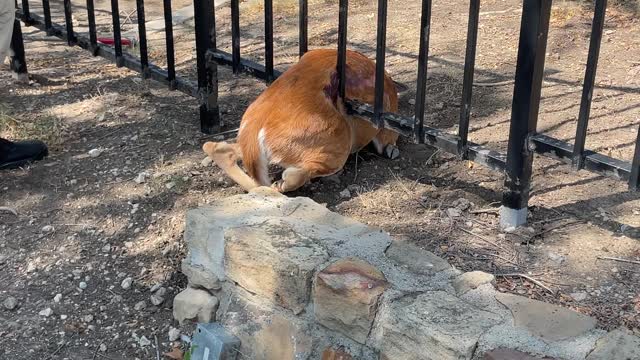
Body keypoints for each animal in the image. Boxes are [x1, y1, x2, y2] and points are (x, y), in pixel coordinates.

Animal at [202, 50, 400, 194]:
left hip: (250, 144)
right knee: (295, 175)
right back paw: (283, 182)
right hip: (336, 142)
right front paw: (391, 150)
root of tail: (255, 126)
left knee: (217, 148)